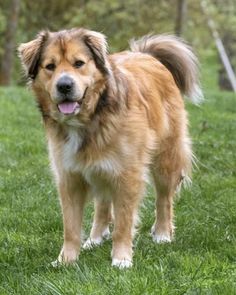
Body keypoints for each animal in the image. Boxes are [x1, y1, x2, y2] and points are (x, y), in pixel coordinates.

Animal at [18, 28, 203, 270]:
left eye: (79, 63)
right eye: (50, 66)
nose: (64, 86)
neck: (91, 117)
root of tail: (146, 55)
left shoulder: (127, 175)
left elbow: (124, 223)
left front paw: (121, 258)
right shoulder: (69, 177)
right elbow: (70, 227)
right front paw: (66, 259)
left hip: (166, 159)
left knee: (164, 199)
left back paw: (163, 233)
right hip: (101, 167)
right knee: (103, 204)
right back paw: (95, 238)